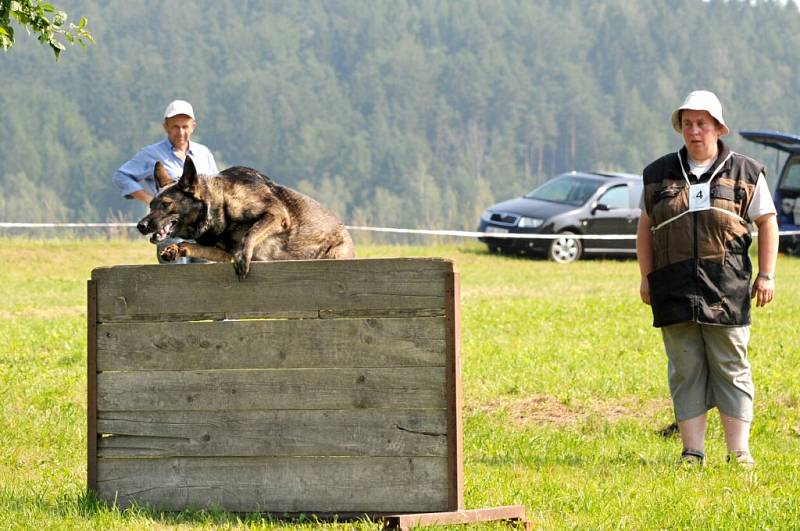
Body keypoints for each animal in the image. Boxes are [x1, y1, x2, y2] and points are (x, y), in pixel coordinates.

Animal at [136, 156, 354, 280]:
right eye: (151, 205)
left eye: (166, 204)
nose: (141, 226)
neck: (219, 205)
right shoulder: (224, 253)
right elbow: (190, 245)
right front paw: (174, 249)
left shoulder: (277, 214)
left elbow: (251, 232)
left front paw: (244, 257)